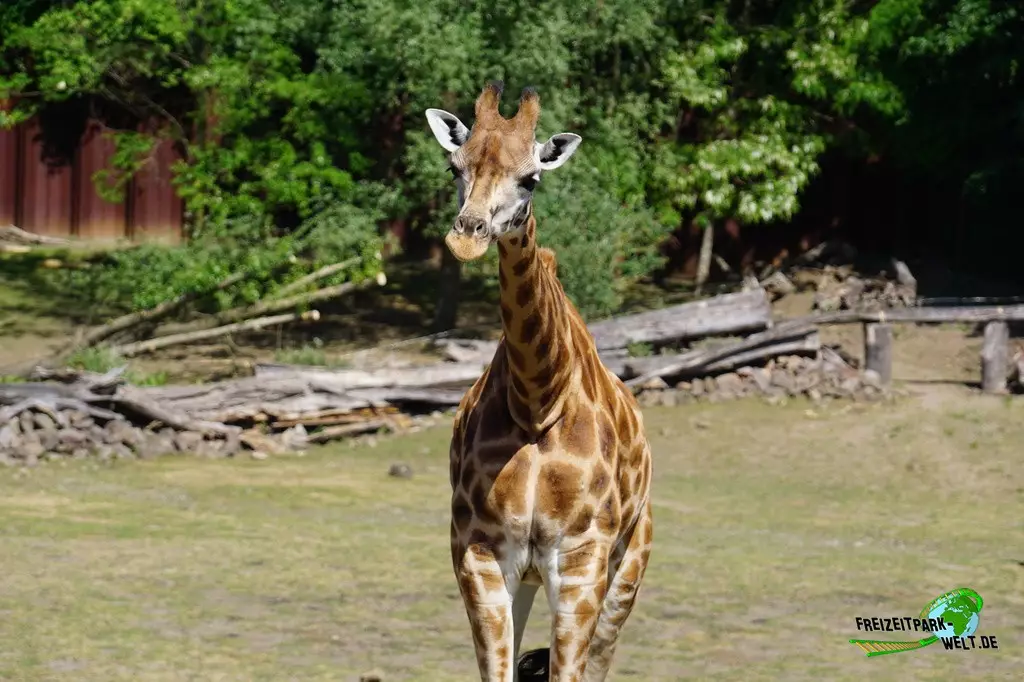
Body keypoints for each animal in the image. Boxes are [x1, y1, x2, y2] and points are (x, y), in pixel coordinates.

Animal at [424, 82, 654, 682]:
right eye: (454, 166)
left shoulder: (580, 559)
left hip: (631, 559)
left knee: (601, 660)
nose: (468, 235)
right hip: (527, 578)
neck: (537, 401)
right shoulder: (478, 551)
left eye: (531, 179)